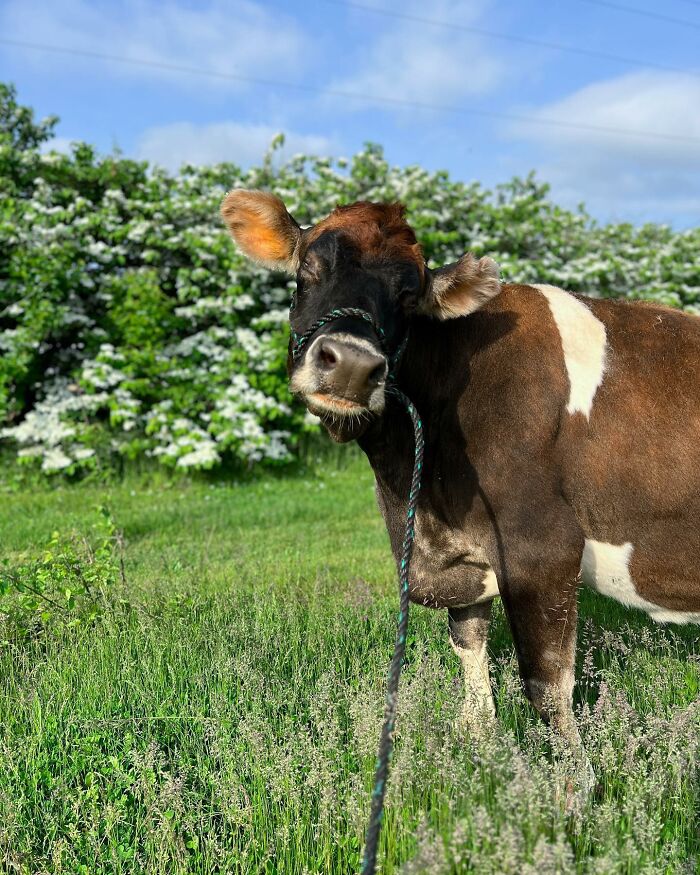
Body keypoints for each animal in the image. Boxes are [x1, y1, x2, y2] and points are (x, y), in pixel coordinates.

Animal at [221, 189, 700, 797]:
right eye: (309, 268)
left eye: (408, 296)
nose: (351, 364)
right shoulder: (460, 552)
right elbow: (468, 639)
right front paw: (478, 738)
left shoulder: (541, 547)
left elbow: (546, 684)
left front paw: (573, 787)